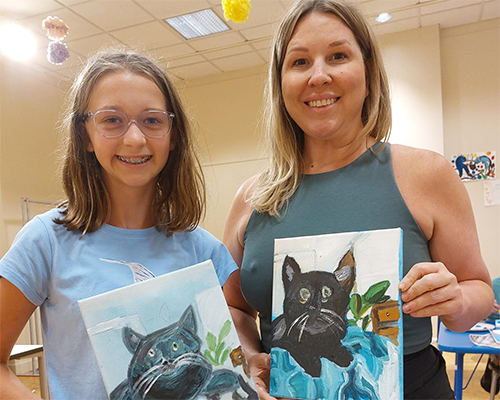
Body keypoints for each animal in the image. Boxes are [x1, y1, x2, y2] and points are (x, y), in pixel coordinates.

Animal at [274, 248, 356, 376]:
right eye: (303, 294)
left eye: (326, 292)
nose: (313, 306)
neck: (317, 339)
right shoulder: (281, 341)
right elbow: (295, 346)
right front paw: (313, 365)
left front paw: (342, 354)